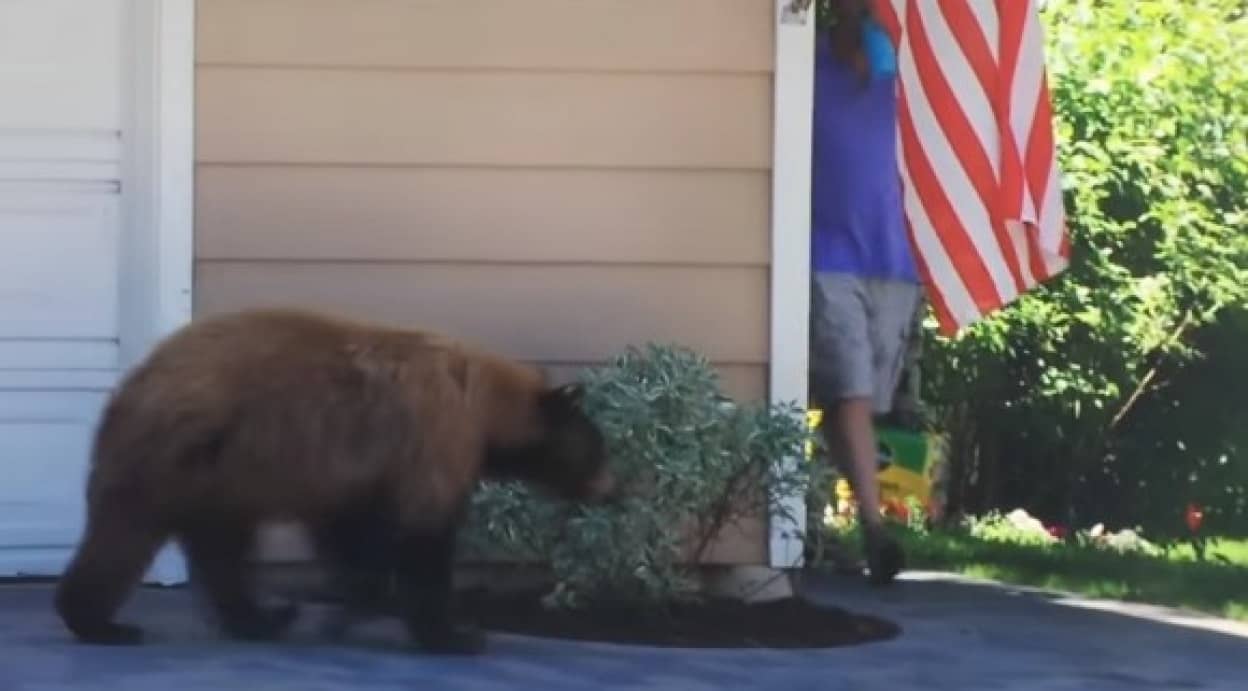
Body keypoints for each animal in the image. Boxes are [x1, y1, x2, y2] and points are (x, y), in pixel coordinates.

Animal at [52, 306, 614, 648]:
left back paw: (261, 618)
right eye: (598, 448)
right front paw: (453, 634)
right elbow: (424, 535)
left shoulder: (355, 474)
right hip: (178, 456)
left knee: (220, 549)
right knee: (125, 533)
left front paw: (354, 601)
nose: (613, 488)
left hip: (219, 477)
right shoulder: (434, 439)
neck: (481, 403)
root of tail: (130, 385)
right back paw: (101, 622)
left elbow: (351, 532)